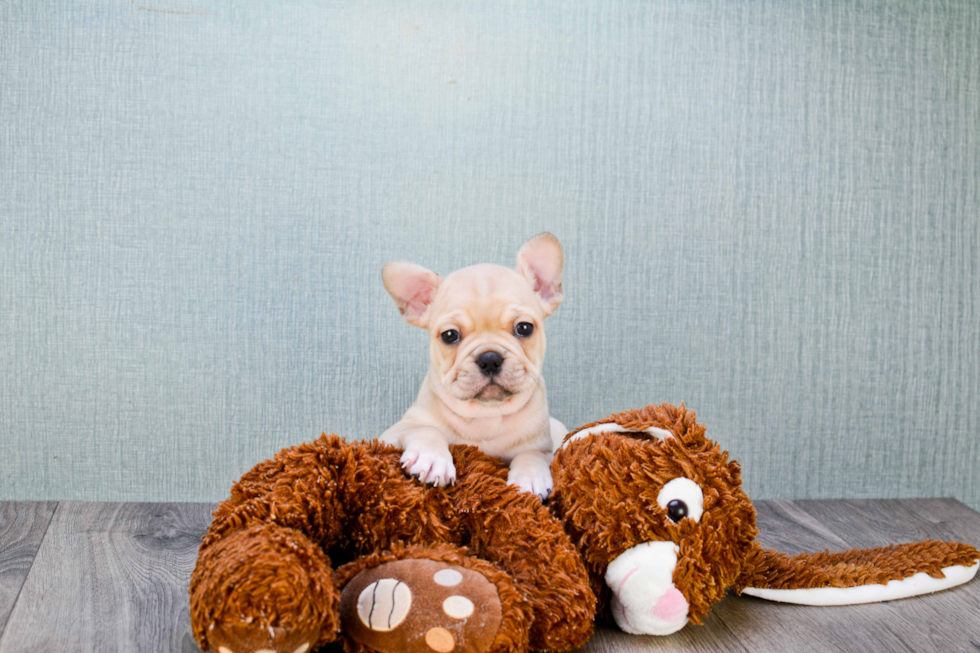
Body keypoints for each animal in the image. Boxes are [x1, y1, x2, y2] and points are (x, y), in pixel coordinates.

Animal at [382, 234, 568, 500]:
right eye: (449, 335)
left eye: (524, 328)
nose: (489, 358)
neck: (485, 414)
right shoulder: (393, 433)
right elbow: (426, 430)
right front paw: (432, 458)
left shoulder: (543, 448)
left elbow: (530, 454)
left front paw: (530, 478)